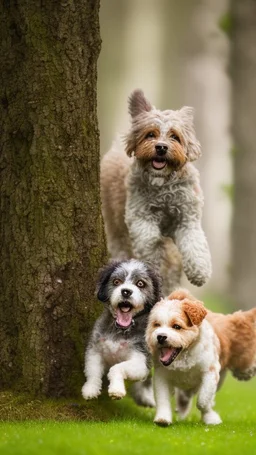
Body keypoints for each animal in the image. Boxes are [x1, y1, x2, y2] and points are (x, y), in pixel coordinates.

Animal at [81, 258, 162, 408]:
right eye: (116, 281)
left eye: (140, 283)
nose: (126, 292)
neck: (119, 331)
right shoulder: (94, 350)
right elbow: (92, 372)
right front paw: (90, 389)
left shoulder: (141, 361)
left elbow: (116, 368)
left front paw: (116, 389)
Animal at [146, 290, 256, 426]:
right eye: (156, 325)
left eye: (176, 326)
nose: (160, 336)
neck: (183, 357)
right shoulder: (162, 375)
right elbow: (163, 399)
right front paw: (163, 418)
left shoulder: (210, 372)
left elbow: (203, 400)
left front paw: (210, 417)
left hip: (238, 365)